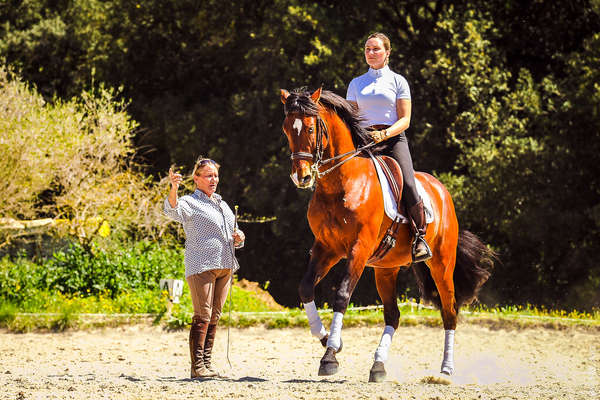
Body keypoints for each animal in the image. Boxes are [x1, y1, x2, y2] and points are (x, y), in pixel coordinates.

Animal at [278, 86, 494, 382]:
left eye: (311, 129)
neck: (341, 184)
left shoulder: (359, 248)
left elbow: (342, 295)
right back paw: (378, 366)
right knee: (393, 315)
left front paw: (330, 356)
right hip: (385, 269)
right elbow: (305, 288)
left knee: (449, 311)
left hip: (442, 263)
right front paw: (329, 341)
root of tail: (441, 190)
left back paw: (445, 370)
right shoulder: (326, 247)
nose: (301, 177)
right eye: (287, 128)